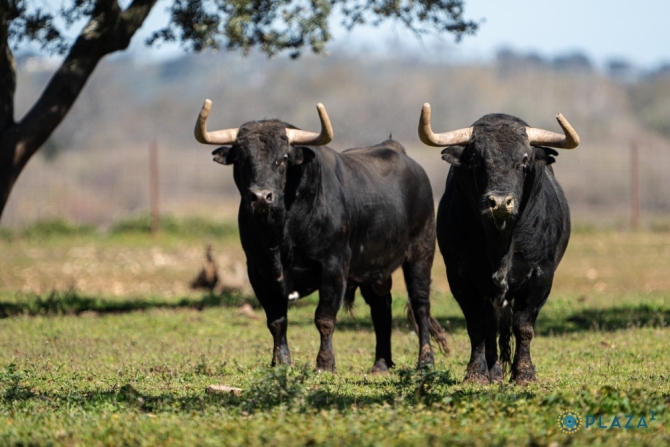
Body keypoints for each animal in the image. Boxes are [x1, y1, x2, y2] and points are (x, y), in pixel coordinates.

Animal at [200, 104, 452, 372]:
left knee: (420, 305)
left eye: (284, 158)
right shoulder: (259, 271)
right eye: (241, 158)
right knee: (381, 309)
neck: (281, 232)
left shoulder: (333, 266)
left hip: (421, 253)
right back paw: (381, 365)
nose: (261, 197)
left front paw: (325, 363)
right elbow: (276, 320)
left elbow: (325, 317)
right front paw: (280, 362)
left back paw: (425, 360)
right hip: (374, 268)